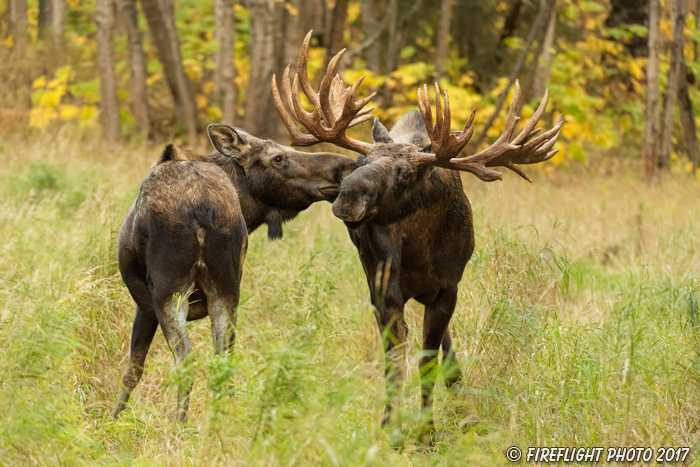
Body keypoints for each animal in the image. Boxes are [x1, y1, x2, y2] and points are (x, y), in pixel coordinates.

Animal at [113, 123, 360, 420]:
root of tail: (203, 208)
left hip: (168, 289)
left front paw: (111, 422)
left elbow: (132, 370)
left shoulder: (145, 304)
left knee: (186, 361)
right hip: (227, 286)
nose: (344, 166)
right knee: (222, 359)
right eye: (278, 157)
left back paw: (178, 426)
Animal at [272, 32, 564, 442]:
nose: (347, 196)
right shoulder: (382, 287)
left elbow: (428, 363)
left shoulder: (447, 289)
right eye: (362, 162)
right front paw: (391, 429)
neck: (420, 250)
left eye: (407, 174)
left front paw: (427, 433)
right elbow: (395, 361)